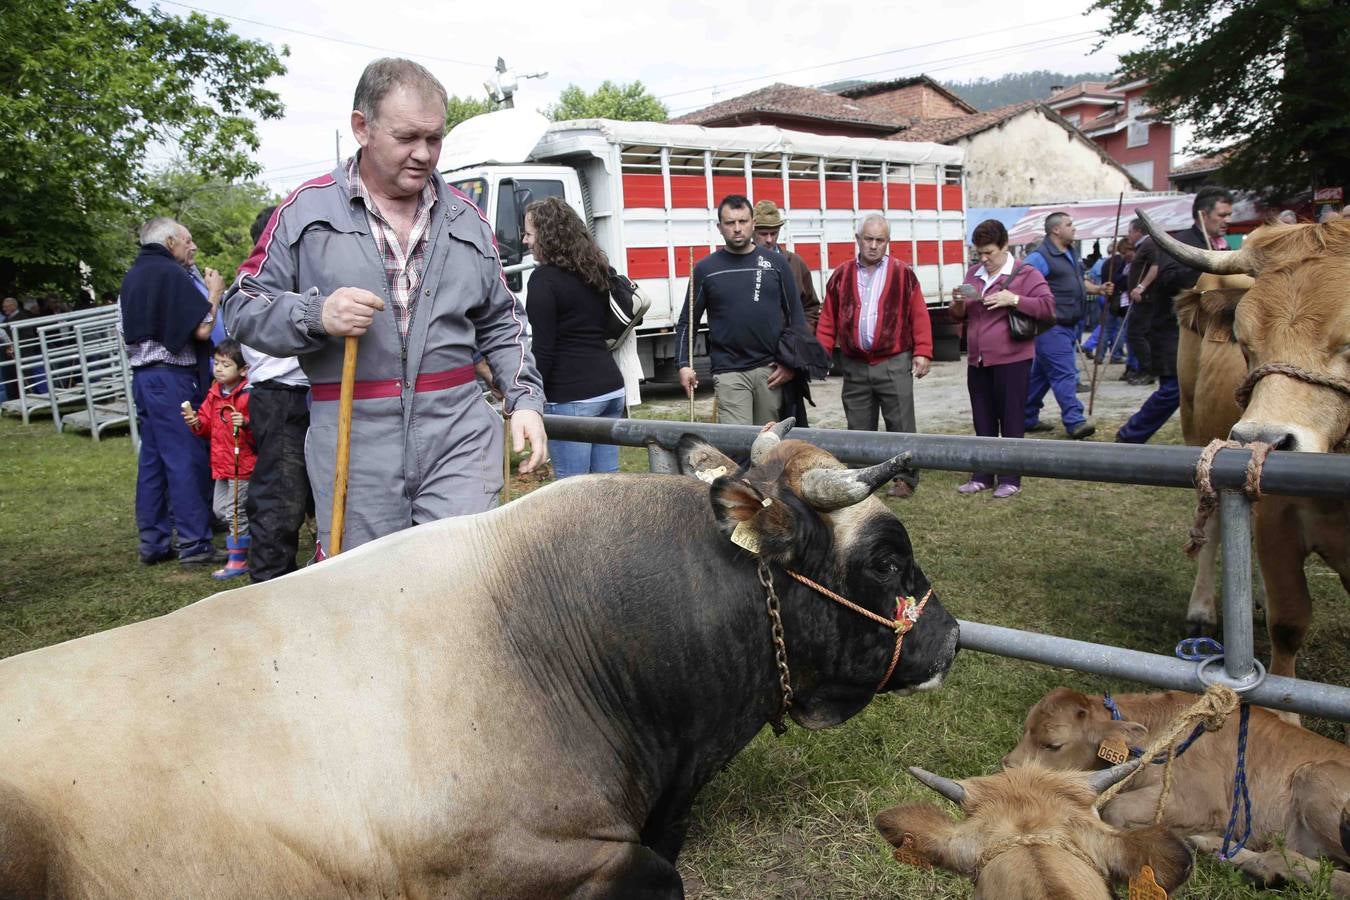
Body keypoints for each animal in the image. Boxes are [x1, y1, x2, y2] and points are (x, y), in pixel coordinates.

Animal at [1004, 690, 1350, 895]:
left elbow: (1115, 809)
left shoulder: (1201, 803)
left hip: (1315, 780)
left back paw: (1263, 866)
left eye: (1052, 745)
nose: (1008, 770)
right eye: (1025, 729)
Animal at [1139, 213, 1350, 682]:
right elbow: (1289, 624)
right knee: (1215, 524)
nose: (1261, 442)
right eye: (1244, 339)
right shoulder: (1277, 519)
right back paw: (1202, 612)